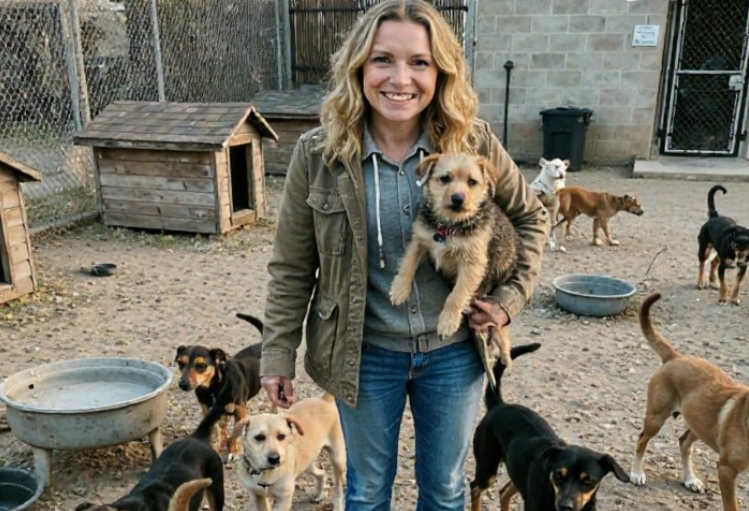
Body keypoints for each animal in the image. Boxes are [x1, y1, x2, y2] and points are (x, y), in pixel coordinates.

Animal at [174, 313, 264, 456]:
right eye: (181, 363)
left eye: (201, 365)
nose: (182, 384)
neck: (215, 388)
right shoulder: (209, 411)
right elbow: (217, 430)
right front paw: (219, 446)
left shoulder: (240, 413)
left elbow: (235, 434)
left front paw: (234, 450)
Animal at [389, 153, 520, 375]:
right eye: (445, 178)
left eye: (472, 182)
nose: (458, 199)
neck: (449, 225)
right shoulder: (420, 239)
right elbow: (407, 263)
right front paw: (399, 289)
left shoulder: (473, 263)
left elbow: (456, 295)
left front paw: (447, 322)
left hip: (495, 313)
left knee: (502, 334)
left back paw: (506, 359)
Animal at [470, 343, 629, 511]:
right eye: (559, 475)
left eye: (588, 481)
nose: (565, 506)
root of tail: (499, 405)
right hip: (487, 469)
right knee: (475, 488)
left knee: (503, 492)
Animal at [631, 292, 749, 511]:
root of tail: (676, 357)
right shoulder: (726, 470)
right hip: (656, 418)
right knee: (642, 439)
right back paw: (636, 473)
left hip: (699, 423)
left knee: (684, 442)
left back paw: (689, 479)